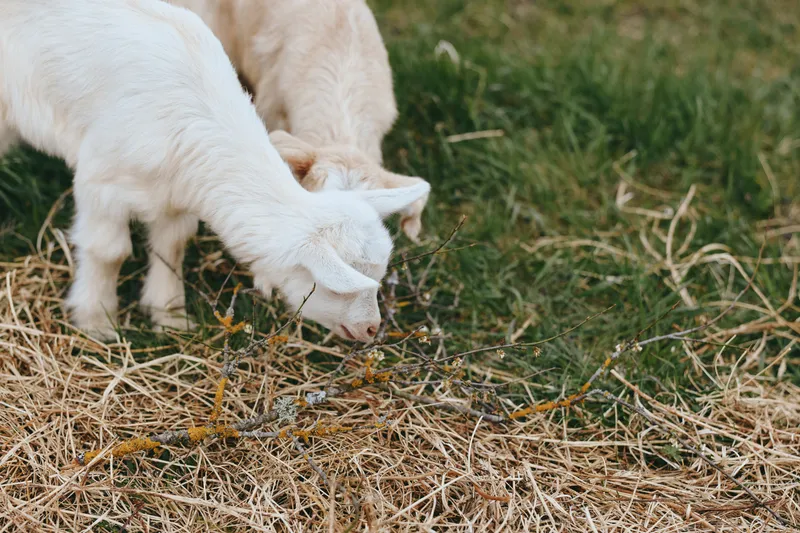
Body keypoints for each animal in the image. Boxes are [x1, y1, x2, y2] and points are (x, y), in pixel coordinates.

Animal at [0, 0, 429, 343]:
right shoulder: (101, 183)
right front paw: (96, 322)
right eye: (336, 288)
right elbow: (109, 252)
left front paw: (170, 316)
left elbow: (171, 246)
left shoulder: (175, 197)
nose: (370, 329)